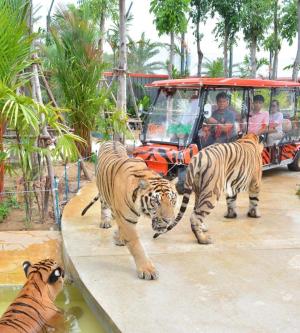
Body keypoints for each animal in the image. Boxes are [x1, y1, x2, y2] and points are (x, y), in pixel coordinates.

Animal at [81, 139, 177, 278]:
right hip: (103, 191)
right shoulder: (127, 221)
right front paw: (147, 270)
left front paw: (119, 237)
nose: (168, 220)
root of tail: (111, 139)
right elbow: (137, 246)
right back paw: (105, 221)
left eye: (172, 200)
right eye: (156, 202)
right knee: (104, 207)